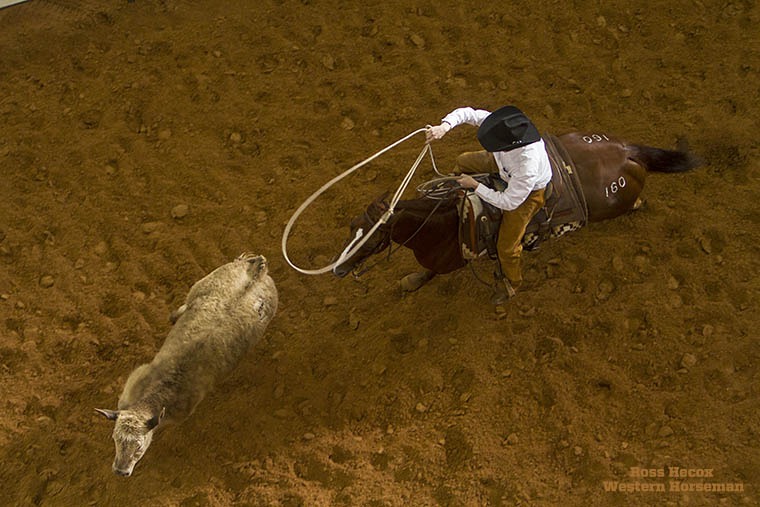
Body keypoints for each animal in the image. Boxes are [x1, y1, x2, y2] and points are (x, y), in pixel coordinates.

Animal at [332, 132, 700, 294]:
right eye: (351, 226)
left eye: (370, 238)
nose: (338, 268)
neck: (448, 220)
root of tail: (627, 150)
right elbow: (427, 273)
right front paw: (411, 281)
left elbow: (435, 271)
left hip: (617, 204)